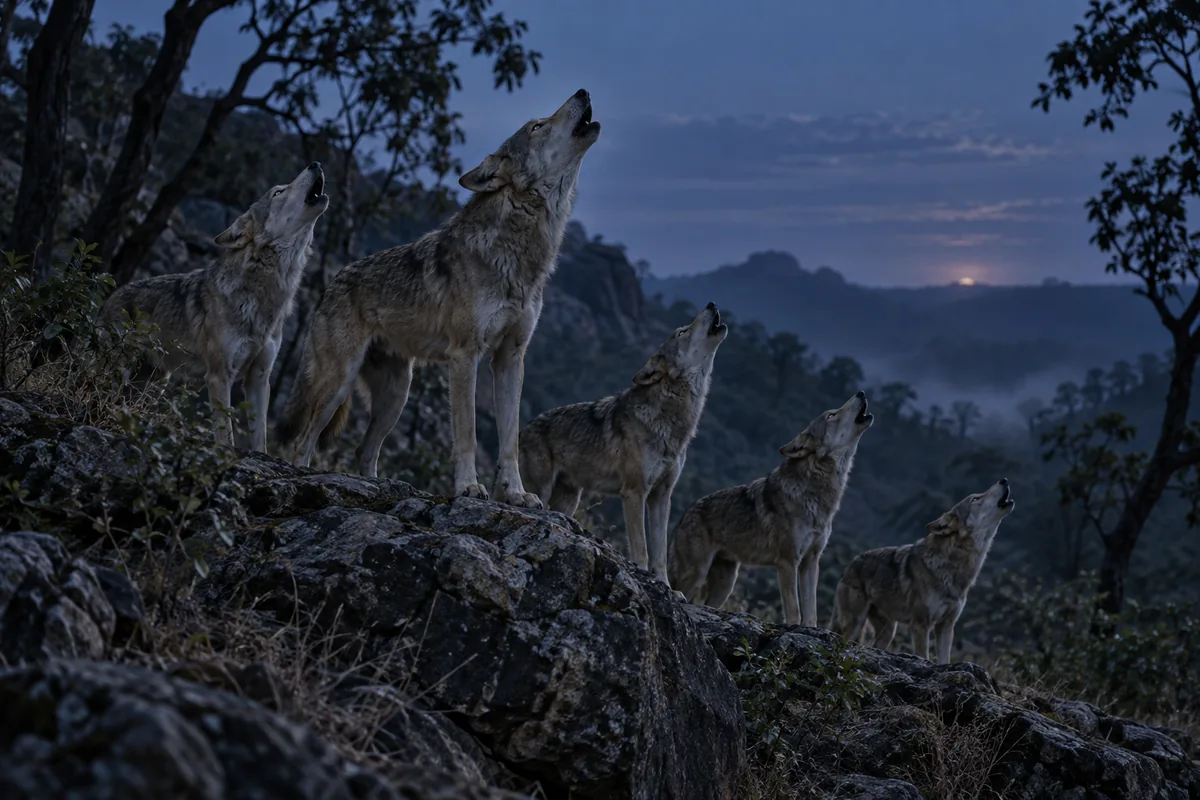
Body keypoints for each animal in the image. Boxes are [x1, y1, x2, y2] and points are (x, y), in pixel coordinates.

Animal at [100, 163, 329, 449]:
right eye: (278, 192)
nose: (315, 164)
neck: (263, 298)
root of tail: (111, 294)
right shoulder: (220, 375)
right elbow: (226, 434)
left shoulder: (259, 377)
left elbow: (260, 437)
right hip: (120, 371)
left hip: (155, 383)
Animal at [276, 90, 602, 507]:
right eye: (537, 126)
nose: (583, 92)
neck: (519, 250)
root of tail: (332, 283)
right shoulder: (465, 355)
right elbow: (467, 434)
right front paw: (468, 488)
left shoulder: (510, 358)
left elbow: (509, 440)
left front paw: (516, 493)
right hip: (338, 383)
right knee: (304, 439)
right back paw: (305, 477)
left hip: (397, 395)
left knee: (364, 449)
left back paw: (377, 487)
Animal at [519, 303, 728, 581]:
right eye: (682, 332)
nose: (711, 304)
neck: (672, 422)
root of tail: (524, 428)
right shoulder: (634, 492)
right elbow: (641, 547)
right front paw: (641, 572)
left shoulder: (662, 497)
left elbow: (660, 552)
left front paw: (665, 585)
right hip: (541, 490)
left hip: (569, 502)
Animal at [669, 392, 874, 626]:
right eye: (831, 415)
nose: (861, 393)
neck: (817, 495)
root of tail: (685, 514)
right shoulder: (787, 561)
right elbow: (794, 609)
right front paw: (793, 627)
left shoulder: (811, 562)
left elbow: (810, 610)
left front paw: (810, 629)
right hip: (697, 574)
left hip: (725, 585)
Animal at [829, 479, 1015, 664]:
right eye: (976, 498)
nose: (1004, 480)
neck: (953, 566)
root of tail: (850, 564)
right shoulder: (921, 625)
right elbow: (923, 656)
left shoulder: (946, 627)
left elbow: (944, 660)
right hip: (855, 624)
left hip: (888, 631)